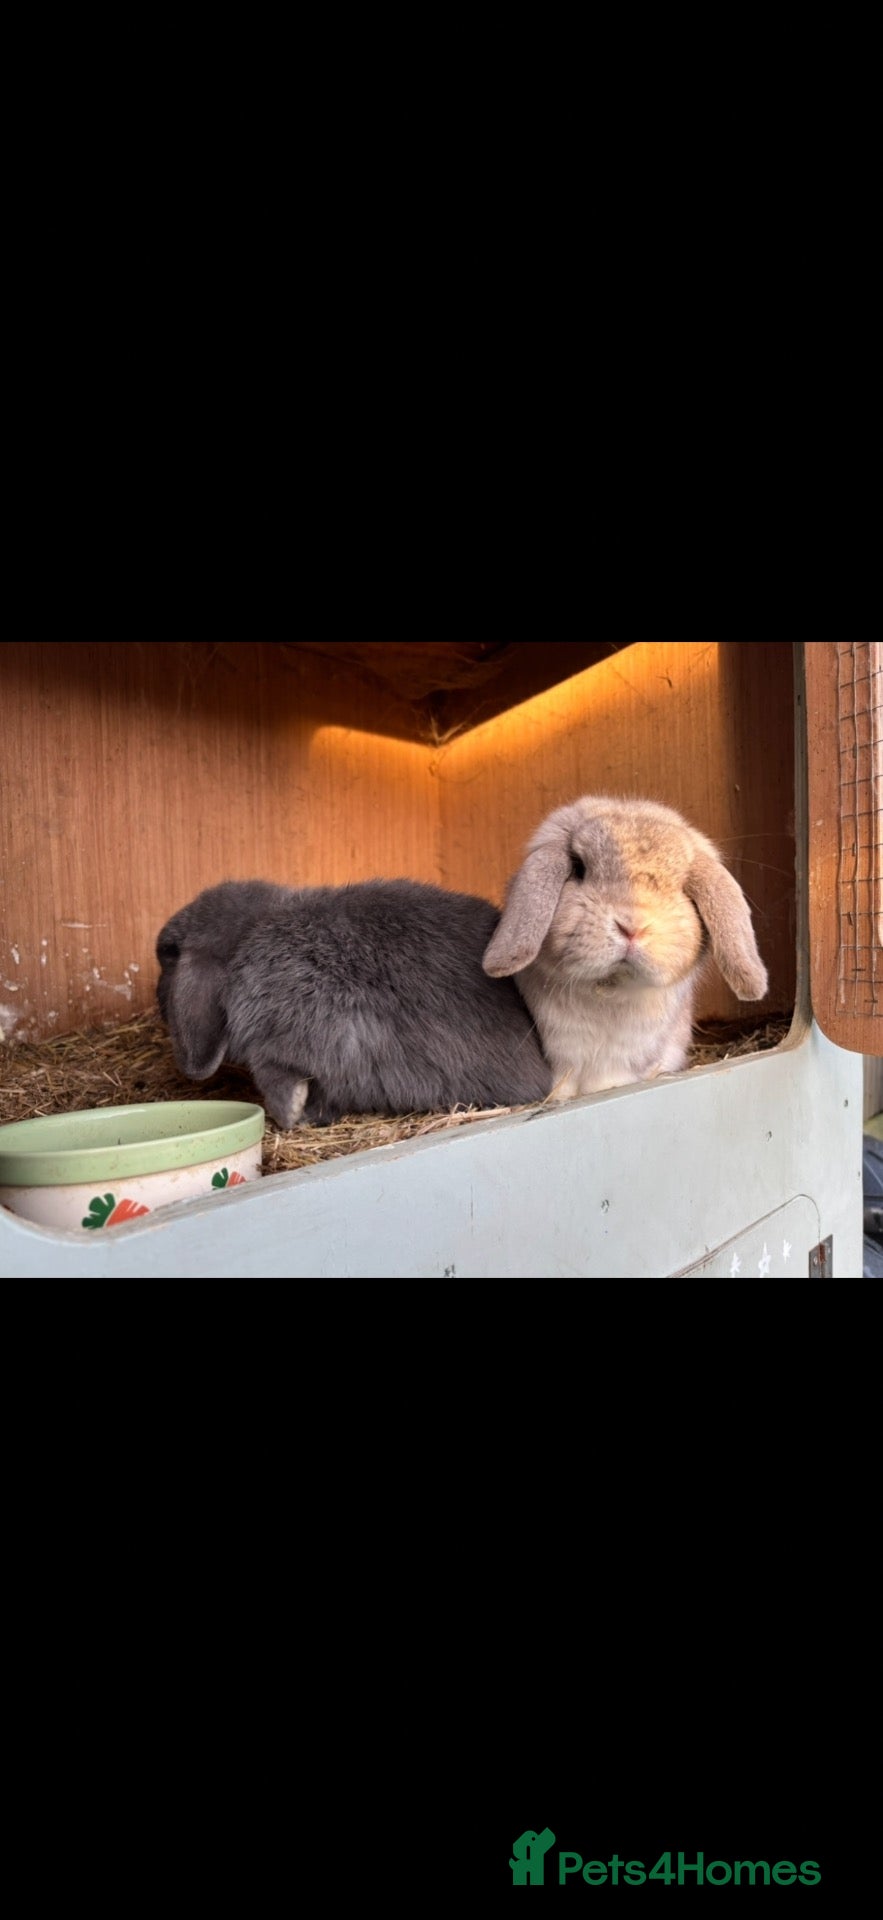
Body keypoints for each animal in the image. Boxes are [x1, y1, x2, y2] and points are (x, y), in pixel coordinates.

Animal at [156, 877, 552, 1127]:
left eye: (168, 954)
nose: (159, 1005)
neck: (249, 933)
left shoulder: (281, 1033)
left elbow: (281, 1079)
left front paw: (290, 1116)